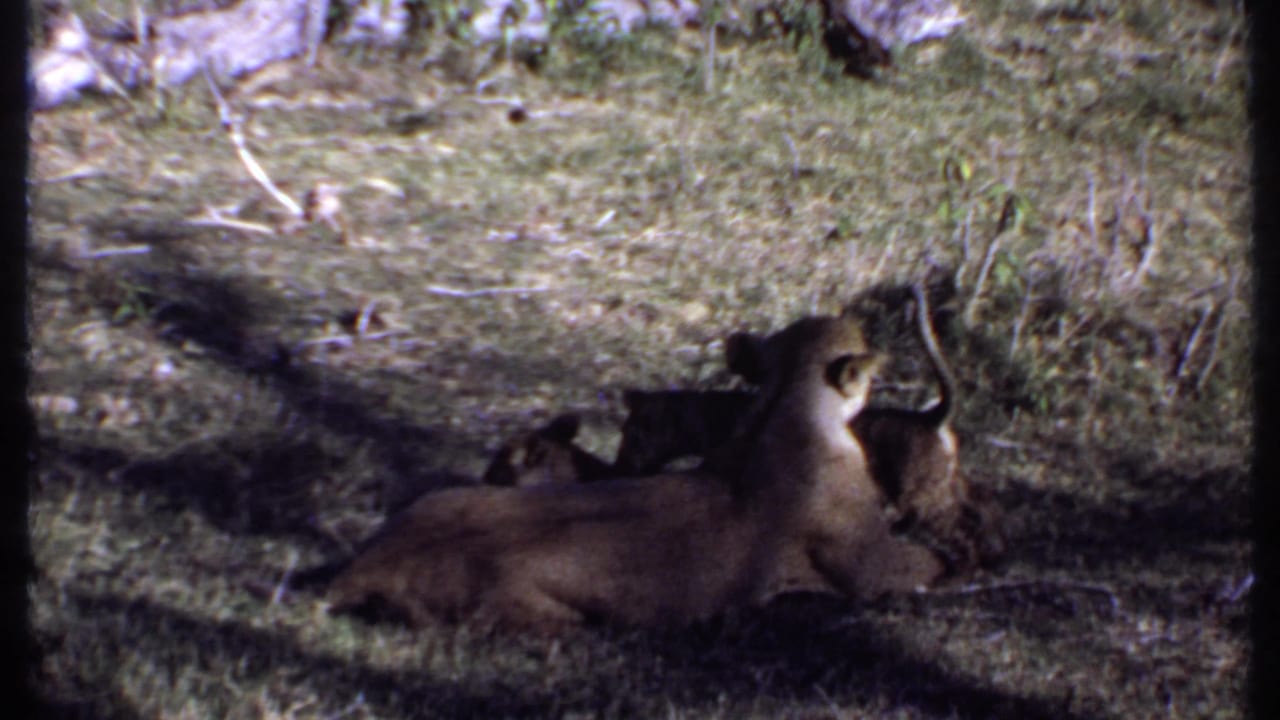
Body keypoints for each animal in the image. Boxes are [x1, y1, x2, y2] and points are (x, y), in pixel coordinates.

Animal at [325, 314, 944, 629]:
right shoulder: (871, 566)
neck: (783, 407)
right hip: (541, 616)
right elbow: (932, 564)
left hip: (449, 494)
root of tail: (364, 567)